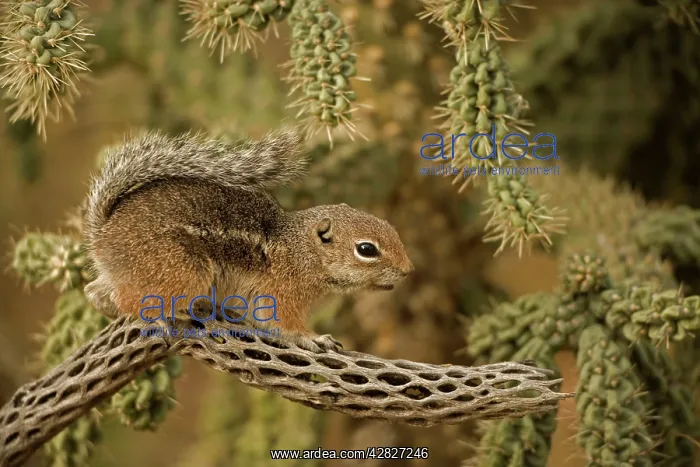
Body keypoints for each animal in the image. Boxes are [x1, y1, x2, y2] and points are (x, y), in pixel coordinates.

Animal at [82, 128, 414, 353]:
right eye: (366, 249)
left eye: (392, 228)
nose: (408, 271)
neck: (302, 251)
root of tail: (102, 233)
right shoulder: (281, 294)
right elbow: (284, 325)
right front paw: (315, 337)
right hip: (184, 271)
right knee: (128, 301)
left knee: (94, 291)